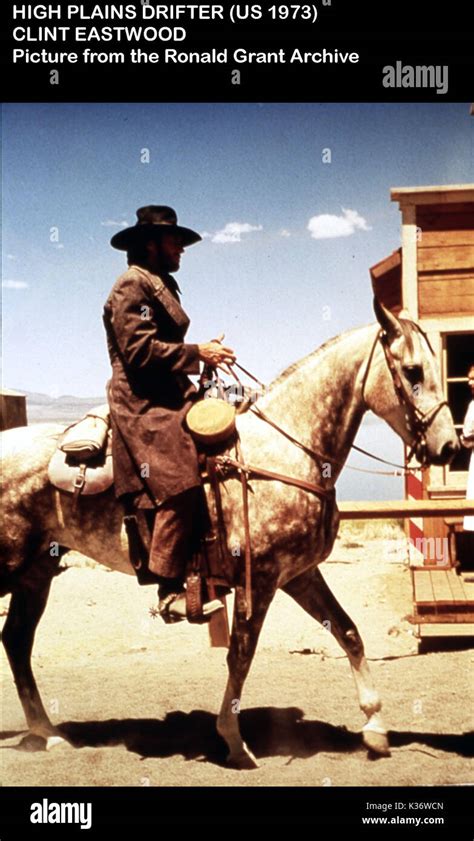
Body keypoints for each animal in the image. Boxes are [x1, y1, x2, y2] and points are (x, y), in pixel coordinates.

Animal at [0, 302, 460, 768]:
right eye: (412, 370)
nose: (450, 447)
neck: (287, 452)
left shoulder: (299, 574)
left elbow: (347, 632)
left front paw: (375, 728)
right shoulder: (261, 579)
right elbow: (240, 654)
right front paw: (234, 741)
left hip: (37, 573)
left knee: (16, 640)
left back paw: (48, 732)